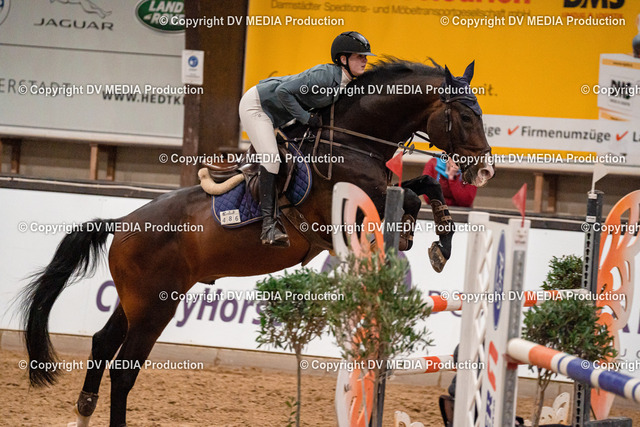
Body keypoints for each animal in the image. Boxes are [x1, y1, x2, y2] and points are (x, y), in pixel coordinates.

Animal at [21, 59, 494, 426]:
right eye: (466, 117)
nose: (484, 171)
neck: (351, 141)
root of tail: (122, 222)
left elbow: (426, 185)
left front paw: (441, 242)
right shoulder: (345, 215)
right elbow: (412, 196)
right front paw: (419, 236)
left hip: (137, 298)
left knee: (102, 343)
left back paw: (83, 410)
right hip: (156, 305)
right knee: (123, 371)